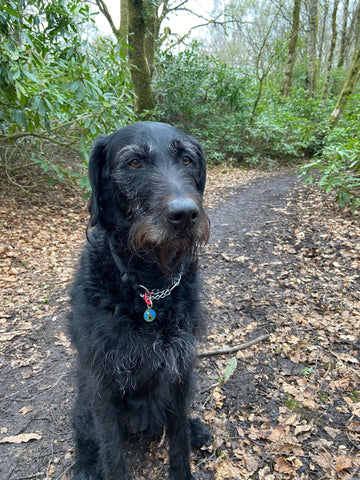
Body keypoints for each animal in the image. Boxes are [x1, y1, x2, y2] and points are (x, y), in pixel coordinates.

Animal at [68, 122, 211, 478]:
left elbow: (178, 439)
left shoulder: (180, 369)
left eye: (187, 159)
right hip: (83, 406)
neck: (149, 287)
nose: (185, 214)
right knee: (84, 436)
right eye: (134, 163)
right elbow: (111, 452)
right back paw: (84, 465)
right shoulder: (102, 382)